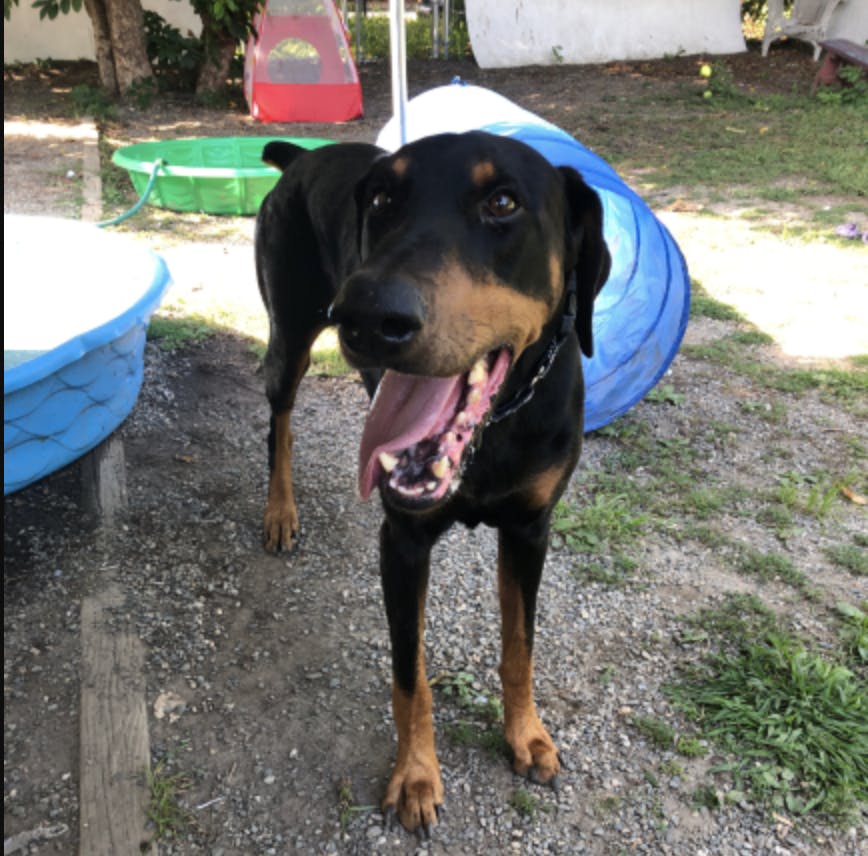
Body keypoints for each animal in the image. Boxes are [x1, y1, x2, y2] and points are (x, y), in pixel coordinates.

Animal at [255, 130, 610, 833]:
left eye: (503, 202)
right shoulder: (403, 541)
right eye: (381, 198)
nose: (366, 315)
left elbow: (521, 645)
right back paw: (281, 510)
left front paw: (526, 736)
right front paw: (417, 776)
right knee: (278, 418)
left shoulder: (530, 529)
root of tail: (303, 155)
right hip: (291, 335)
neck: (491, 432)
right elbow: (408, 673)